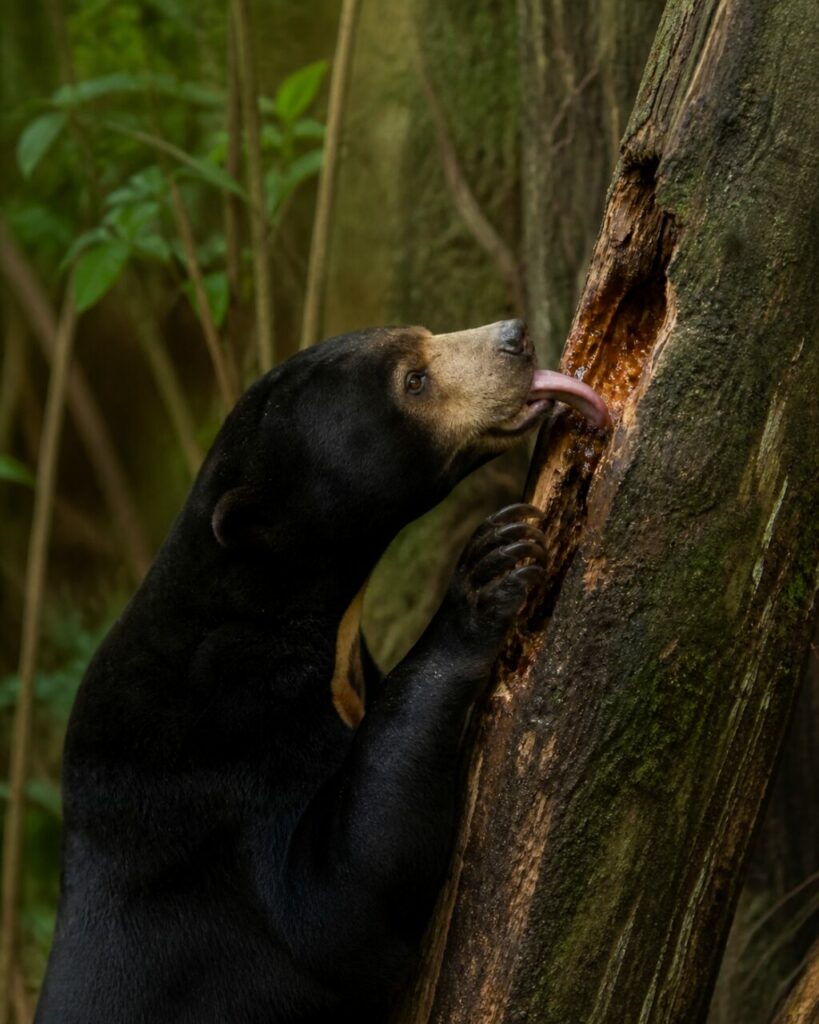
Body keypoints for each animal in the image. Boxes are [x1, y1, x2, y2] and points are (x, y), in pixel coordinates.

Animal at [35, 320, 608, 1024]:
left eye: (421, 337)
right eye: (414, 381)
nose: (516, 338)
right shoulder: (231, 742)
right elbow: (340, 901)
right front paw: (493, 567)